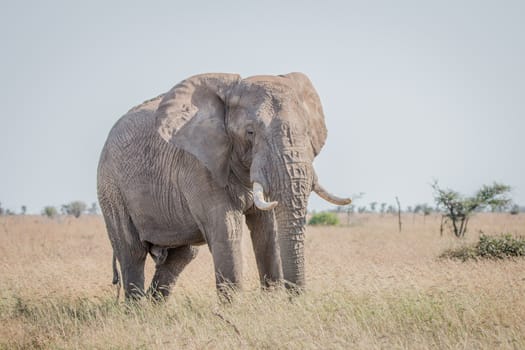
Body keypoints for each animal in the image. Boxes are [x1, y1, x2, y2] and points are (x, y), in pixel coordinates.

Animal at [97, 72, 352, 300]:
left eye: (307, 133)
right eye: (250, 132)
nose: (297, 300)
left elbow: (267, 232)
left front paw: (271, 304)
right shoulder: (199, 165)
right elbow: (227, 231)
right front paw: (235, 311)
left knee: (182, 255)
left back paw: (154, 307)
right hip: (110, 188)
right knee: (132, 251)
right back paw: (137, 310)